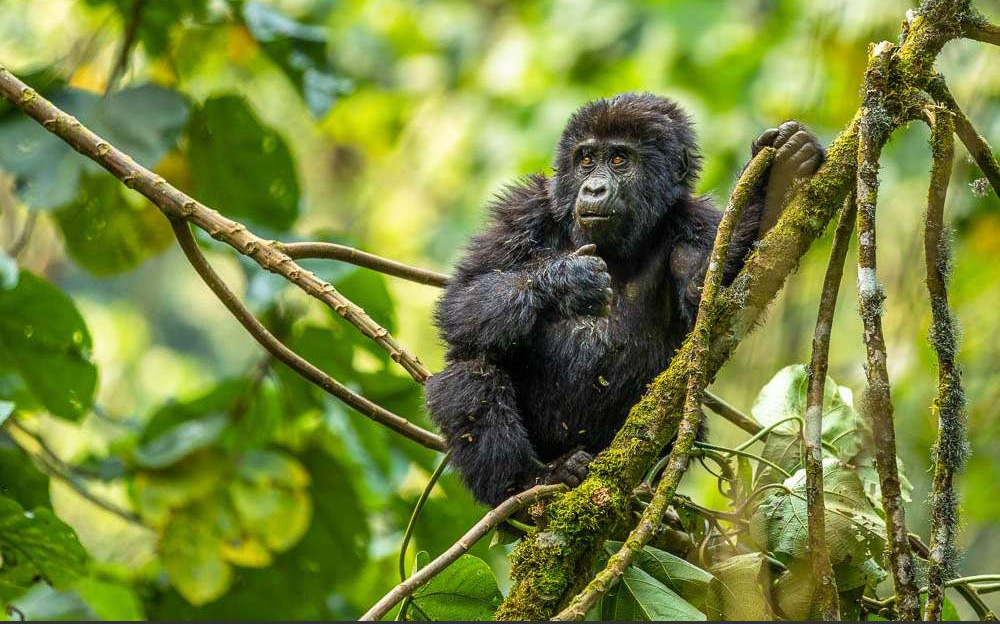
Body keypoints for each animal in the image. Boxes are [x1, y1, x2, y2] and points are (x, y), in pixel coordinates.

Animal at [425, 93, 824, 506]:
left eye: (619, 160)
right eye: (586, 159)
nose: (594, 189)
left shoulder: (698, 223)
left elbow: (711, 298)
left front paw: (773, 181)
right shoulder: (522, 211)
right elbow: (462, 301)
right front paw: (568, 280)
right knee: (470, 369)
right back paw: (530, 479)